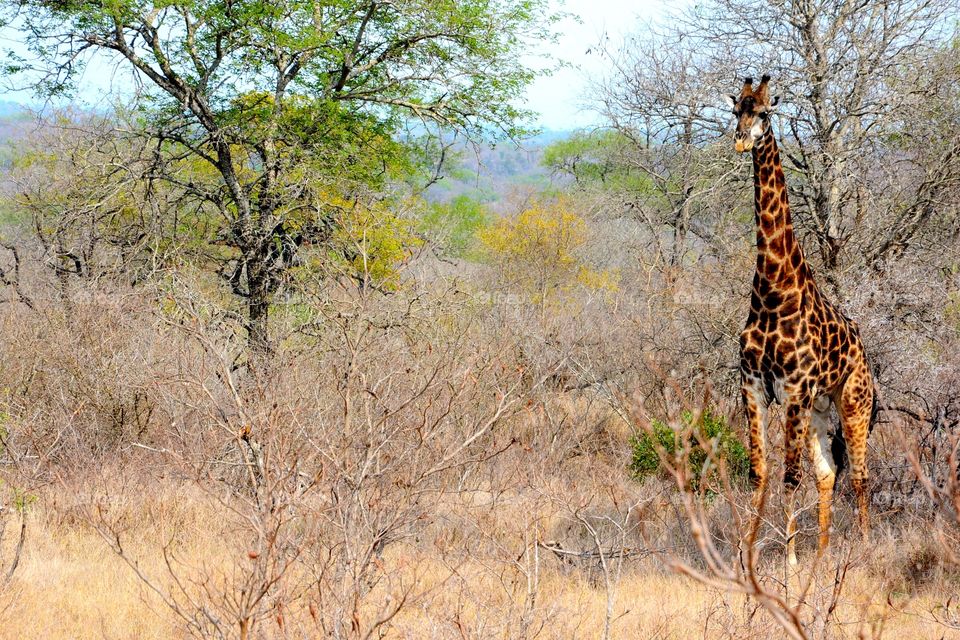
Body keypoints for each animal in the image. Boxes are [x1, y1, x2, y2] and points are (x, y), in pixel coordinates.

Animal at [724, 75, 875, 565]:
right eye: (735, 110)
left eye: (765, 111)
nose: (741, 140)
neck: (773, 292)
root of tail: (863, 349)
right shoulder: (752, 384)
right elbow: (760, 471)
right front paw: (748, 552)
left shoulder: (793, 388)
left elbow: (790, 475)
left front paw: (789, 561)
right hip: (819, 407)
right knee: (827, 472)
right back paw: (824, 552)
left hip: (853, 400)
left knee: (860, 474)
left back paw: (864, 546)